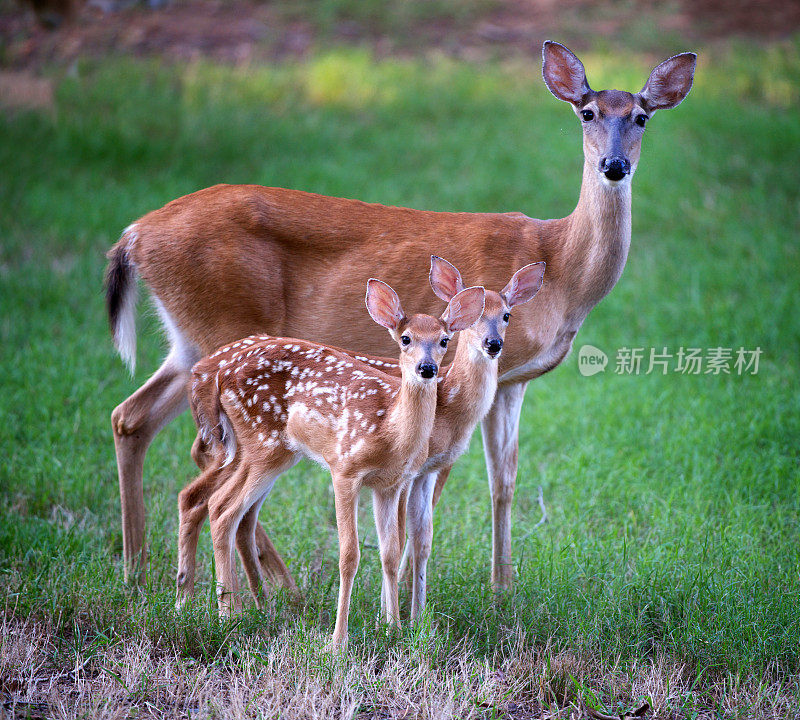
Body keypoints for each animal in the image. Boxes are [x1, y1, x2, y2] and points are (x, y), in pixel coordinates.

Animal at [104, 40, 692, 584]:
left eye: (641, 117)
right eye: (587, 113)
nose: (614, 166)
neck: (560, 267)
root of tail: (133, 235)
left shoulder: (513, 379)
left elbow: (503, 481)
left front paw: (502, 590)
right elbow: (432, 490)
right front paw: (411, 592)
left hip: (189, 340)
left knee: (131, 418)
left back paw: (142, 571)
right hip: (224, 324)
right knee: (208, 456)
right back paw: (263, 586)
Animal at [179, 278, 484, 648]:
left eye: (443, 340)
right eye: (405, 338)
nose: (427, 369)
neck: (389, 429)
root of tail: (214, 373)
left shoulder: (390, 484)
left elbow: (391, 551)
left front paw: (394, 630)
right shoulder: (345, 469)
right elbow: (349, 555)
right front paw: (338, 642)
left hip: (261, 452)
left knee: (215, 504)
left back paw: (229, 609)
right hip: (263, 445)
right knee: (222, 507)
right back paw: (227, 616)